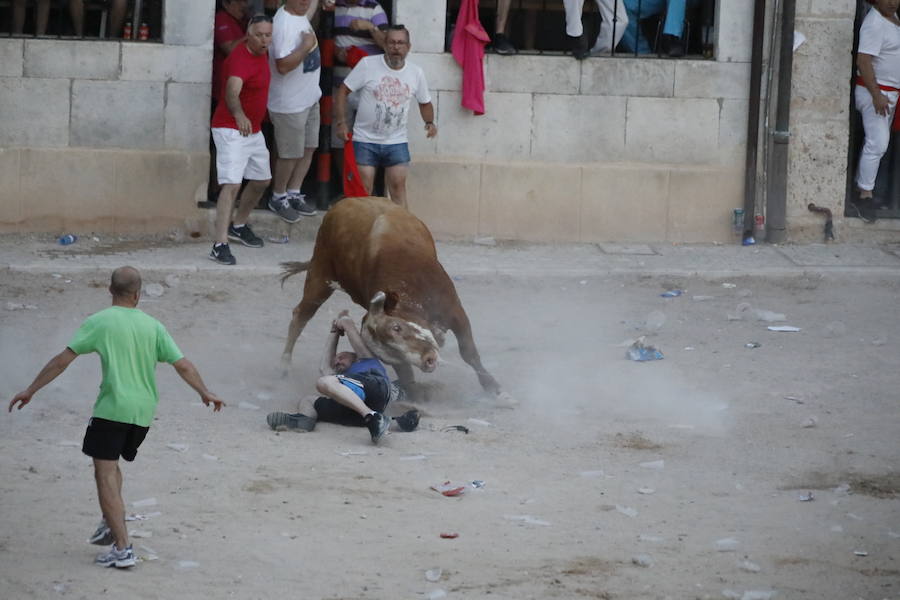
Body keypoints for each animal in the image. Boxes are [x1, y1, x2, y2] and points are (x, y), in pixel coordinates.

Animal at [280, 196, 502, 398]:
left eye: (397, 327)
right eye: (389, 356)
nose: (428, 361)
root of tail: (341, 204)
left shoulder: (455, 310)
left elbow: (468, 351)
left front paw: (493, 388)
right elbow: (406, 374)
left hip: (320, 275)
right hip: (321, 274)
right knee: (301, 315)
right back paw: (285, 366)